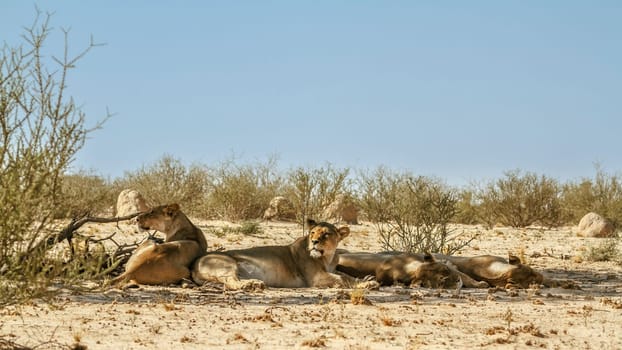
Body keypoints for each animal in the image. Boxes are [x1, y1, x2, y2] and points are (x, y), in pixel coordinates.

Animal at [191, 219, 376, 290]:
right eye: (313, 232)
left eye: (326, 234)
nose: (314, 241)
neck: (327, 257)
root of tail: (193, 264)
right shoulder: (316, 278)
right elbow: (343, 279)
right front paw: (367, 284)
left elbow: (346, 274)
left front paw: (366, 279)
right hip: (227, 263)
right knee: (231, 281)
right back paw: (252, 285)